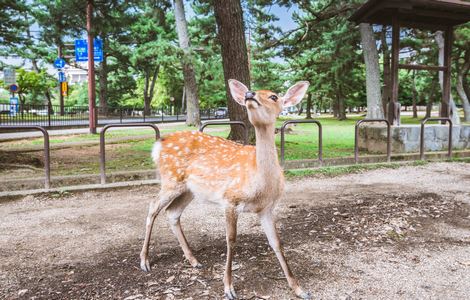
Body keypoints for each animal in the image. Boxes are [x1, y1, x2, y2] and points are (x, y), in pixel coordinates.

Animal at [140, 78, 312, 298]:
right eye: (250, 91)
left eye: (274, 96)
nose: (249, 94)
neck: (261, 184)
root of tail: (158, 145)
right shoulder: (230, 199)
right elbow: (231, 240)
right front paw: (228, 287)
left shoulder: (267, 208)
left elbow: (276, 242)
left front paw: (299, 288)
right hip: (171, 179)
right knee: (153, 206)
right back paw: (144, 261)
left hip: (189, 189)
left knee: (172, 212)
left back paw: (194, 260)